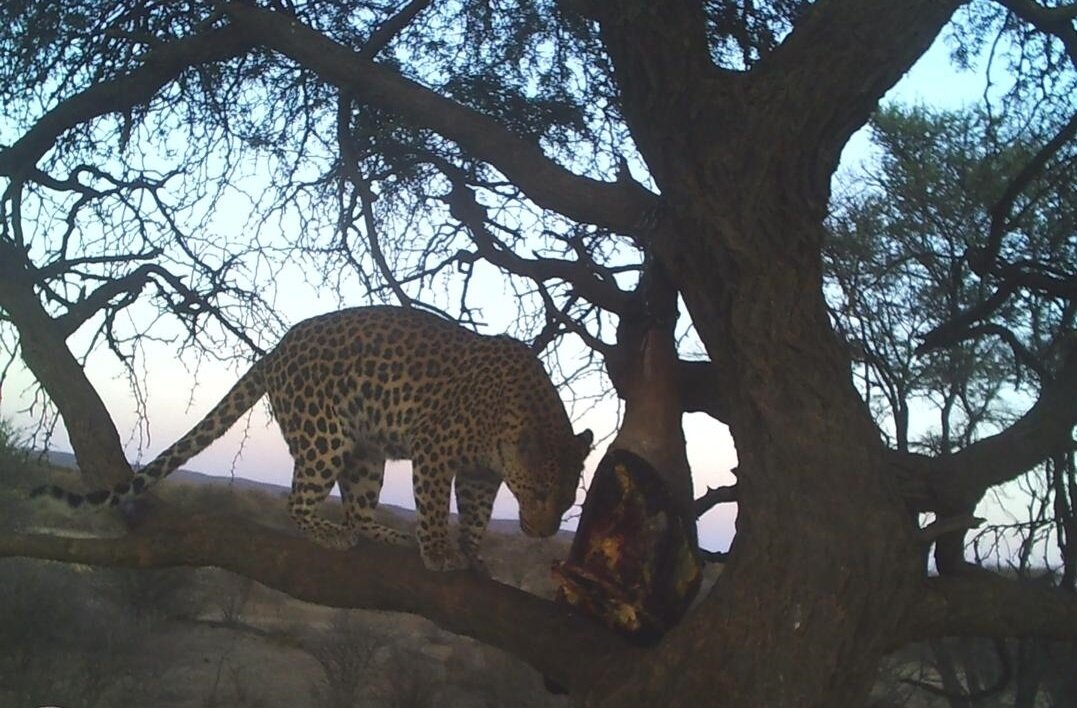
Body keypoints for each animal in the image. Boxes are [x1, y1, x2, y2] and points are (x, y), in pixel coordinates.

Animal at [32, 306, 593, 571]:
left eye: (567, 501)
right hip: (324, 436)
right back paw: (331, 532)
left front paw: (473, 554)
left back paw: (387, 534)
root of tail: (275, 351)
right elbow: (434, 505)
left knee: (358, 509)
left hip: (365, 451)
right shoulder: (435, 448)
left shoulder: (480, 472)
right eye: (540, 493)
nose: (543, 533)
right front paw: (438, 551)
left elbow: (476, 514)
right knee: (299, 504)